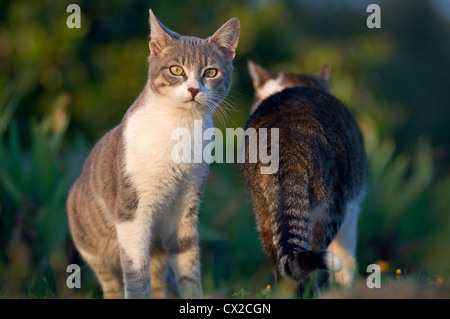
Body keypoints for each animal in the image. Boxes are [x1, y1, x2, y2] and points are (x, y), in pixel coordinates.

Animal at [66, 9, 239, 300]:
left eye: (211, 72)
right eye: (176, 70)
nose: (194, 89)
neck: (180, 128)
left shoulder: (185, 206)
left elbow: (188, 265)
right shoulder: (131, 211)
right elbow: (136, 272)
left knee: (159, 278)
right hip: (94, 249)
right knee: (112, 283)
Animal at [241, 60, 364, 298]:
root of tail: (284, 136)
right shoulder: (351, 208)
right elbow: (347, 259)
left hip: (263, 211)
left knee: (283, 268)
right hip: (330, 208)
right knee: (315, 265)